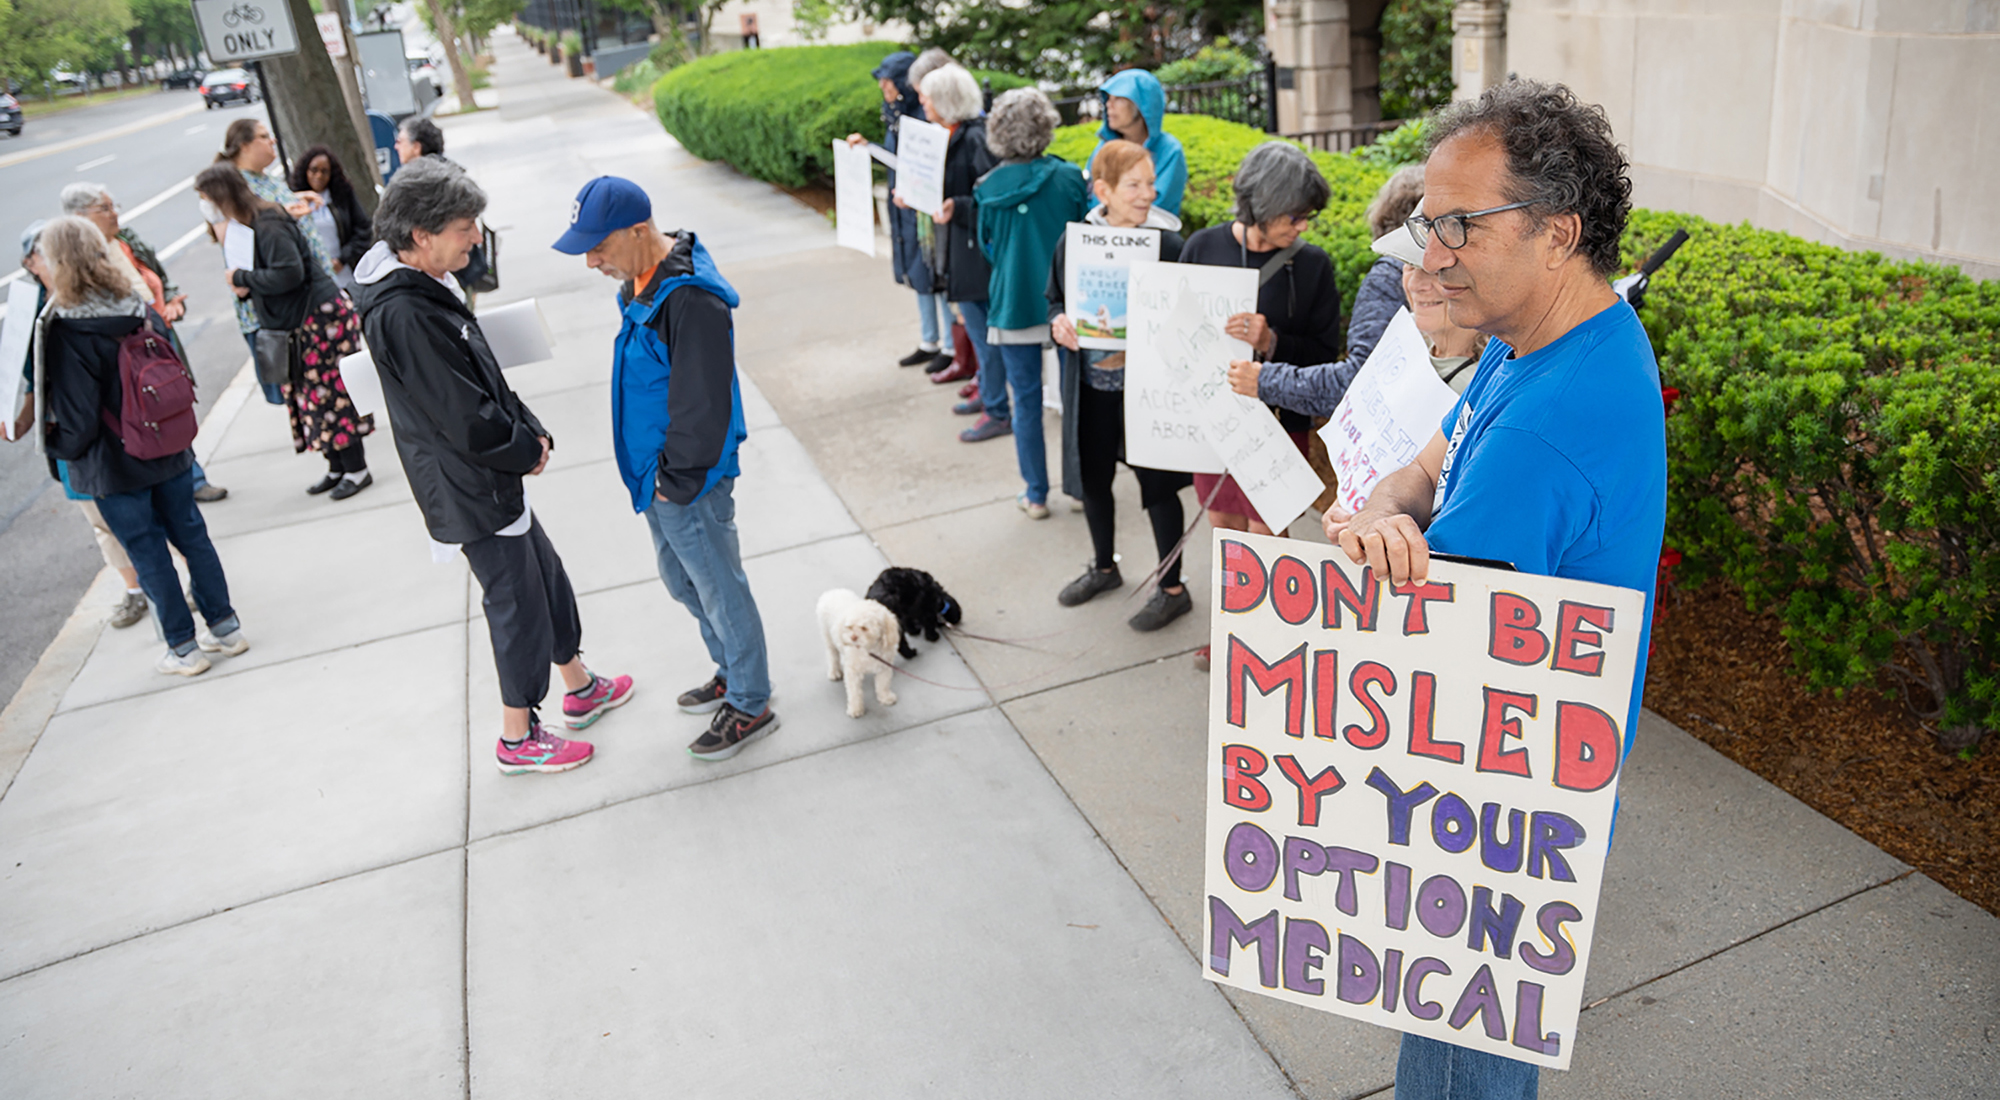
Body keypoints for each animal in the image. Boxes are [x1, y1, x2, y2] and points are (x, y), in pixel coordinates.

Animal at [816, 592, 904, 720]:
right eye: (849, 627)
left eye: (864, 628)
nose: (852, 638)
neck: (869, 650)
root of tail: (832, 591)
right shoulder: (853, 672)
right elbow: (854, 692)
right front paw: (855, 709)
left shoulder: (884, 667)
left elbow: (883, 684)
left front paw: (885, 697)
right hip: (827, 635)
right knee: (832, 654)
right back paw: (834, 671)